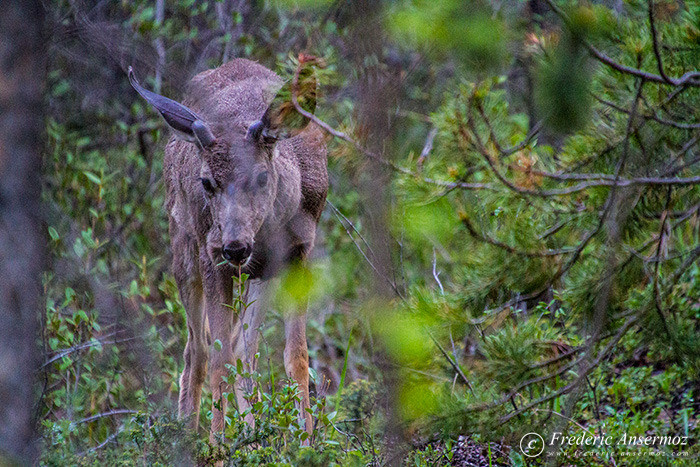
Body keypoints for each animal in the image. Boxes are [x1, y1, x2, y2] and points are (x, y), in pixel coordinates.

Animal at [129, 58, 328, 446]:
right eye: (207, 181)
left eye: (262, 176)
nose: (235, 246)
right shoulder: (212, 255)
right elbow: (219, 359)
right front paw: (217, 447)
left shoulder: (298, 253)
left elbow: (297, 356)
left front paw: (307, 444)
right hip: (185, 246)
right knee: (198, 350)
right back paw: (190, 437)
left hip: (260, 273)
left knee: (242, 347)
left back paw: (252, 435)